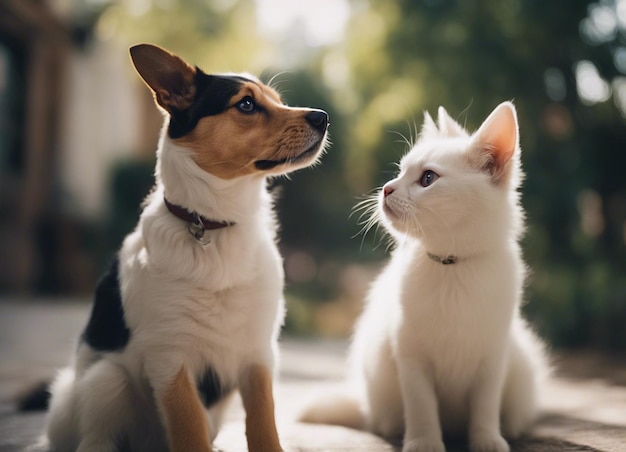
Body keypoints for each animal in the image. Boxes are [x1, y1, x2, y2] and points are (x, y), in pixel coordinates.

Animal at [42, 43, 326, 452]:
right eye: (246, 104)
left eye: (277, 100)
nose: (323, 117)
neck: (213, 224)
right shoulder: (170, 361)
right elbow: (188, 428)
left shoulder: (258, 354)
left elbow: (263, 424)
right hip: (106, 379)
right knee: (94, 438)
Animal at [302, 102, 544, 452]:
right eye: (400, 171)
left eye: (428, 178)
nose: (386, 189)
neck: (450, 266)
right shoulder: (410, 357)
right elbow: (421, 405)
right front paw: (424, 440)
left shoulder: (493, 357)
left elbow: (485, 404)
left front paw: (486, 438)